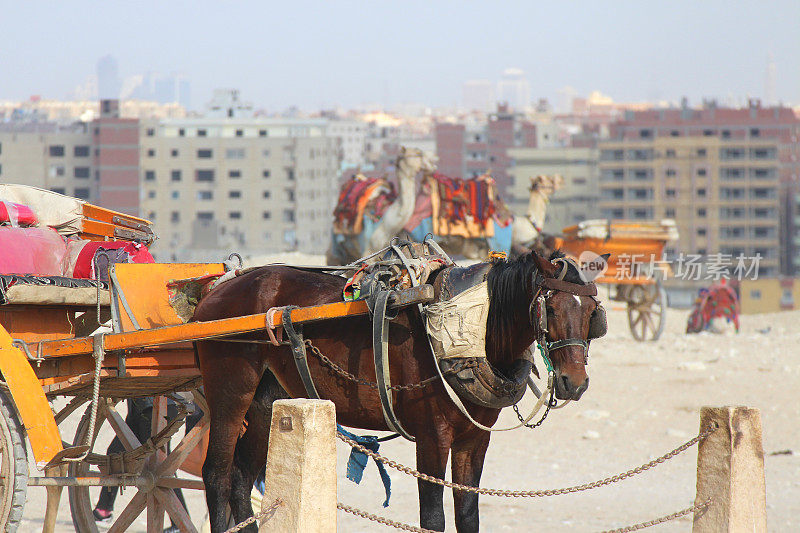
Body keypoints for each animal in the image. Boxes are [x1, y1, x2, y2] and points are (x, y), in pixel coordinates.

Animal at [194, 250, 600, 532]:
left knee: (241, 480)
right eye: (550, 307)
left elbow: (468, 515)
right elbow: (433, 518)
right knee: (216, 474)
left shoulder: (474, 439)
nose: (575, 382)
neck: (469, 325)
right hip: (231, 392)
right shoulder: (433, 435)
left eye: (592, 312)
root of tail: (217, 291)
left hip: (266, 401)